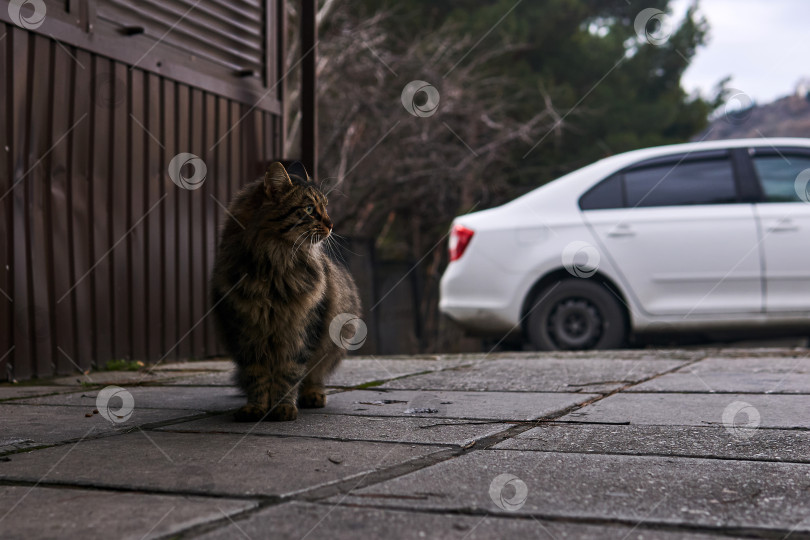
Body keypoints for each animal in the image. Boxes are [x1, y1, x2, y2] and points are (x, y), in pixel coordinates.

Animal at [210, 160, 358, 422]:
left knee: (314, 375)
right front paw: (256, 408)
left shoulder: (300, 329)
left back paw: (312, 396)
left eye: (325, 208)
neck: (275, 267)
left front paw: (283, 407)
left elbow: (289, 373)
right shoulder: (246, 331)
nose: (331, 225)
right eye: (309, 209)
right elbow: (256, 375)